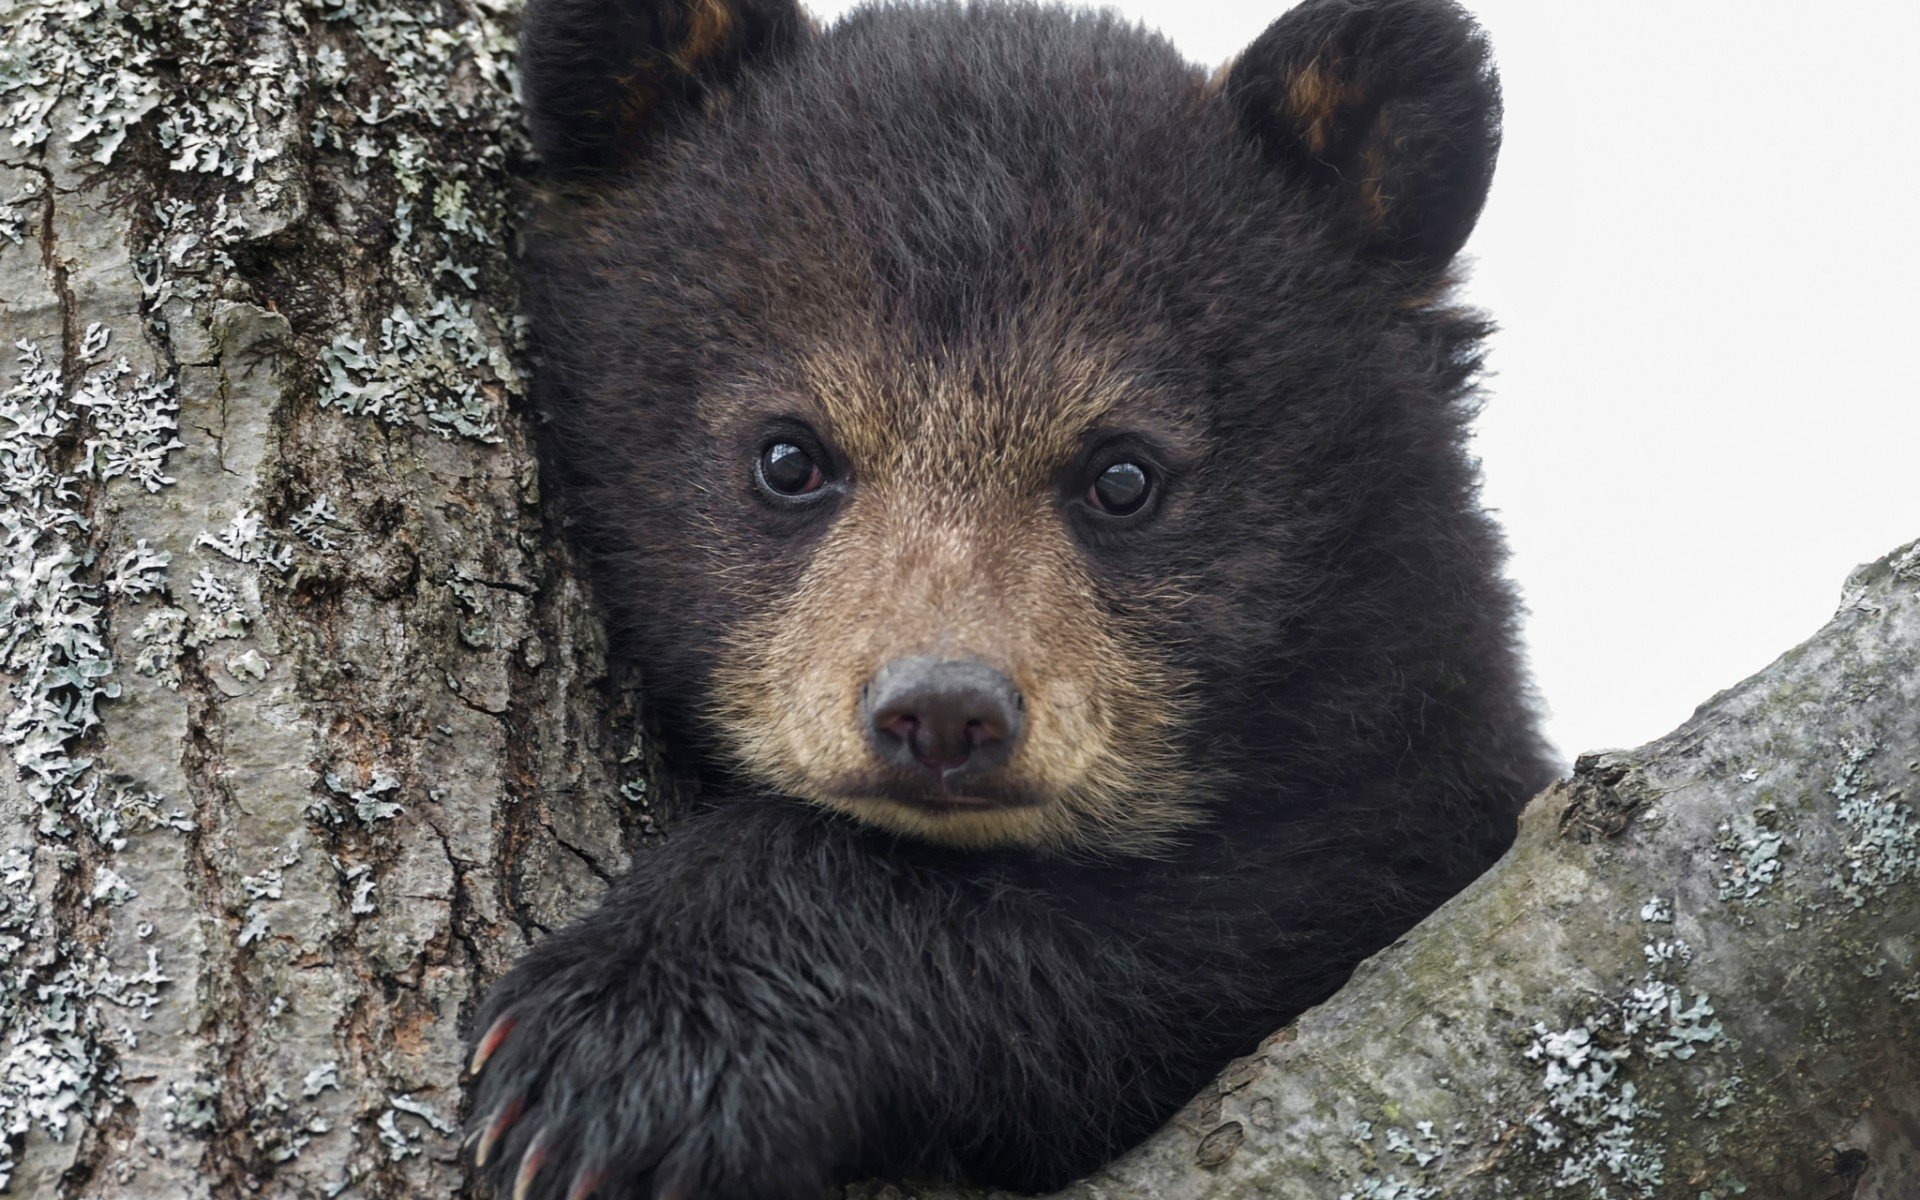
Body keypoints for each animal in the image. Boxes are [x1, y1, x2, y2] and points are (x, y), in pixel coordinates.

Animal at [465, 0, 1558, 1197]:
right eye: (789, 455)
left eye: (1122, 475)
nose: (943, 711)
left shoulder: (1415, 787)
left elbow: (1228, 926)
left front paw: (624, 1046)